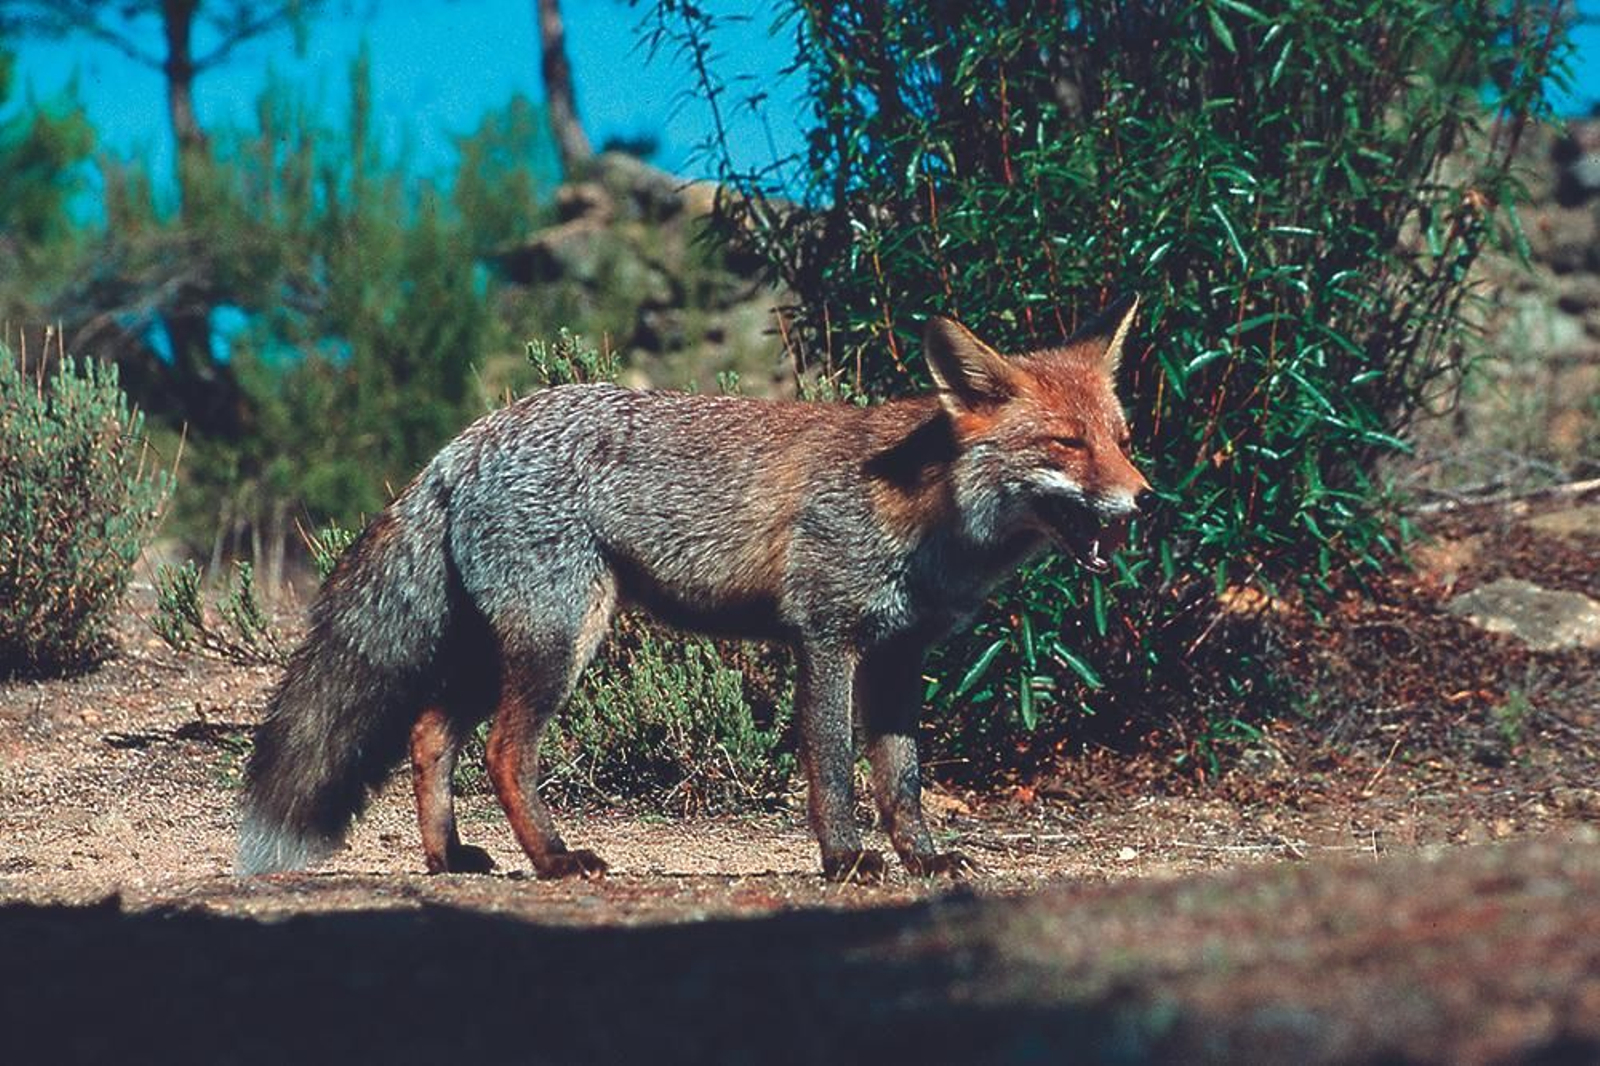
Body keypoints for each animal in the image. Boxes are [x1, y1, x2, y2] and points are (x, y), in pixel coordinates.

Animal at [237, 298, 1152, 883]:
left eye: (1122, 439)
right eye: (1066, 445)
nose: (1145, 499)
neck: (924, 516)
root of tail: (468, 438)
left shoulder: (899, 659)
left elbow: (903, 781)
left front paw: (923, 860)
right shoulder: (826, 639)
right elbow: (834, 766)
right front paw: (845, 861)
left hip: (495, 641)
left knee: (430, 732)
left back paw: (448, 858)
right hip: (561, 638)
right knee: (502, 750)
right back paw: (555, 860)